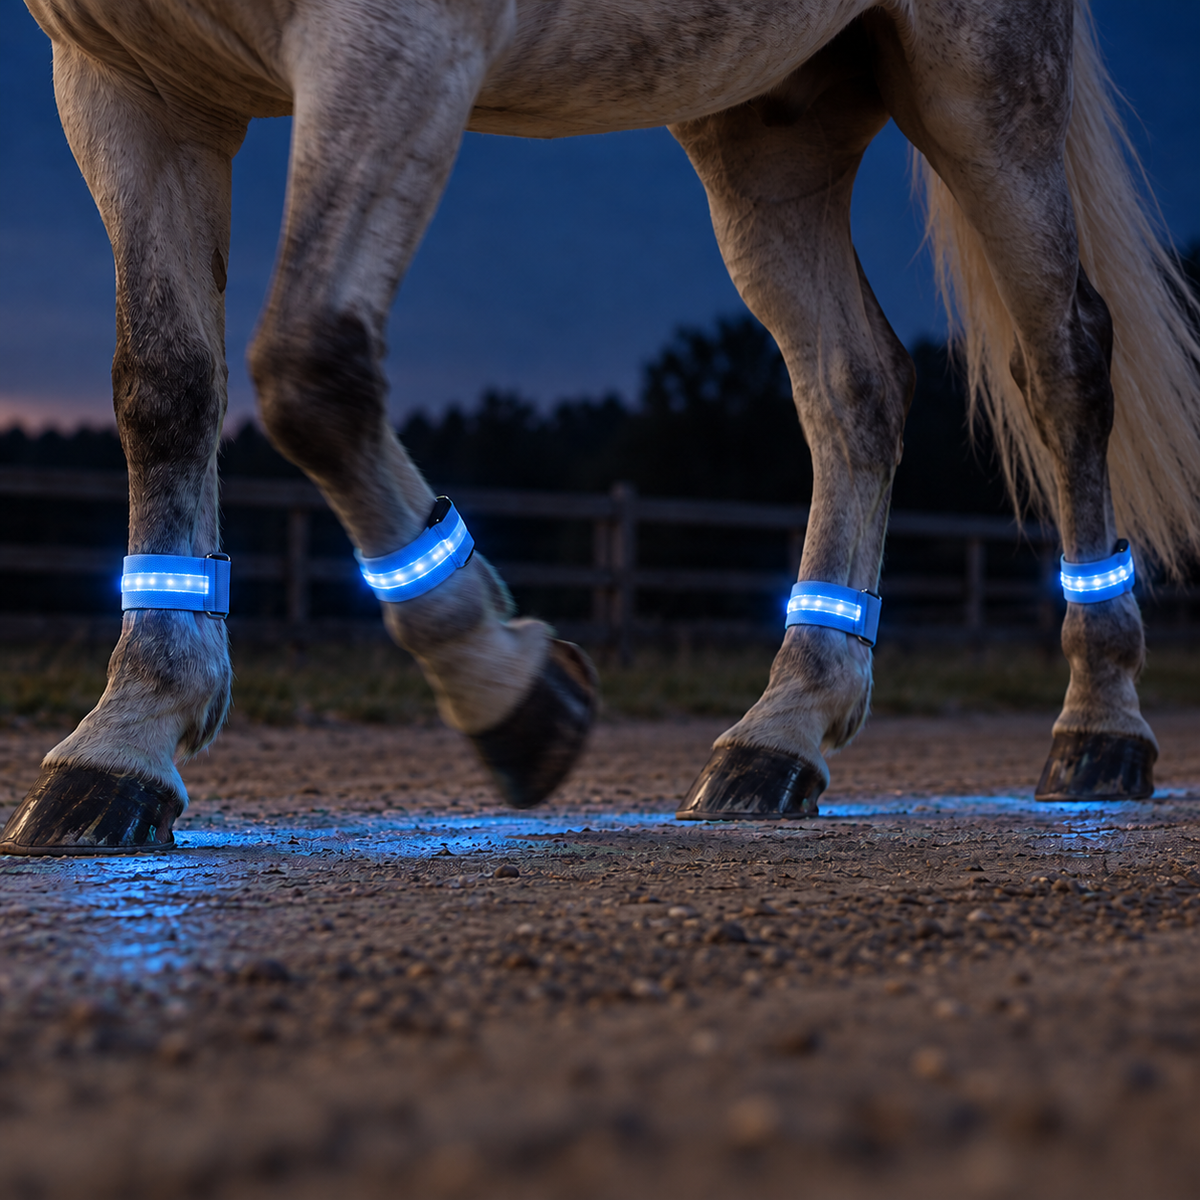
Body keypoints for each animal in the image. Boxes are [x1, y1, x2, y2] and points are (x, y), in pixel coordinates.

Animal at [3, 0, 1199, 853]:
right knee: (855, 382)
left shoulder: (396, 44)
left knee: (1067, 363)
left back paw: (1100, 732)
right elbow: (165, 390)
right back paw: (780, 736)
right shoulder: (126, 81)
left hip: (981, 83)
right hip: (764, 112)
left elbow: (308, 371)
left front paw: (512, 690)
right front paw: (124, 744)